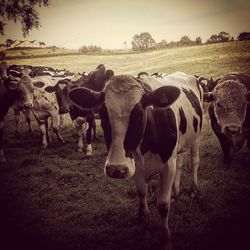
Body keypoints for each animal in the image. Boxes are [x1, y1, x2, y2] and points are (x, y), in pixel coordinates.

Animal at [68, 71, 203, 247]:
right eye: (103, 116)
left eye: (139, 115)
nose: (115, 169)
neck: (146, 145)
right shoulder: (135, 164)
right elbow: (141, 191)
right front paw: (143, 218)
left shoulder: (168, 164)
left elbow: (162, 205)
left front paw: (166, 238)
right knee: (180, 162)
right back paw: (175, 191)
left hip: (196, 137)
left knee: (194, 161)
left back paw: (194, 190)